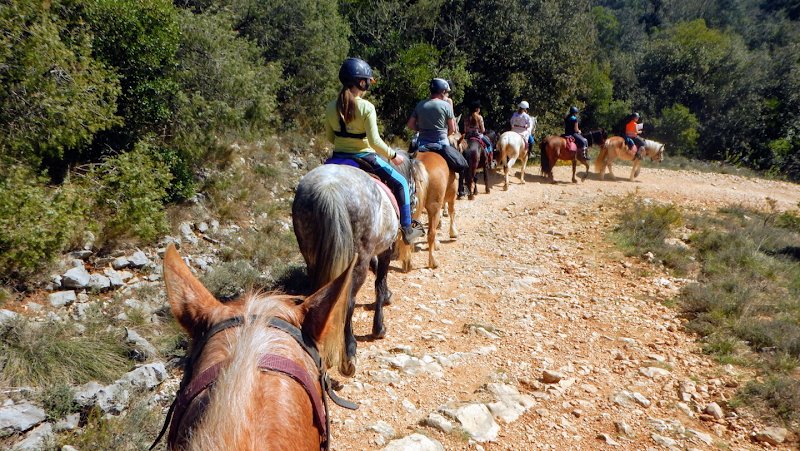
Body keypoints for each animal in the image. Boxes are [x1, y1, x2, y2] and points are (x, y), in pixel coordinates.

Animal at [292, 152, 416, 376]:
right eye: (412, 180)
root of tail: (329, 188)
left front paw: (388, 296)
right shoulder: (385, 249)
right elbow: (379, 282)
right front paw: (379, 328)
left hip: (312, 257)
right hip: (357, 260)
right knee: (347, 302)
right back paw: (348, 356)